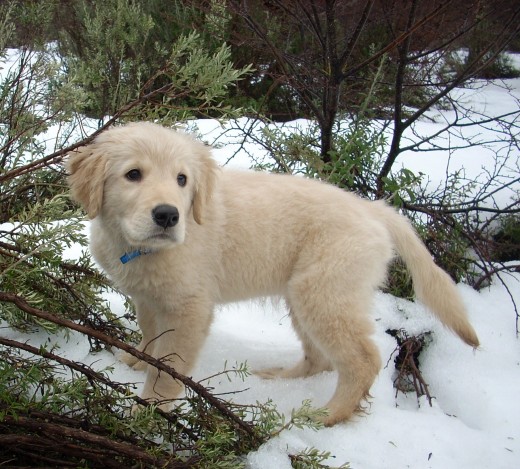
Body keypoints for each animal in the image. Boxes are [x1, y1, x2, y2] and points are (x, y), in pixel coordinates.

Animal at [68, 120, 480, 424]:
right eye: (133, 174)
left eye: (182, 180)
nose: (168, 215)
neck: (138, 247)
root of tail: (372, 208)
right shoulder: (149, 297)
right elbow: (152, 337)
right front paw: (137, 360)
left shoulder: (190, 307)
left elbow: (170, 364)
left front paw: (153, 407)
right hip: (304, 294)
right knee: (321, 358)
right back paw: (282, 379)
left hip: (324, 292)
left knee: (362, 359)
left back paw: (327, 415)